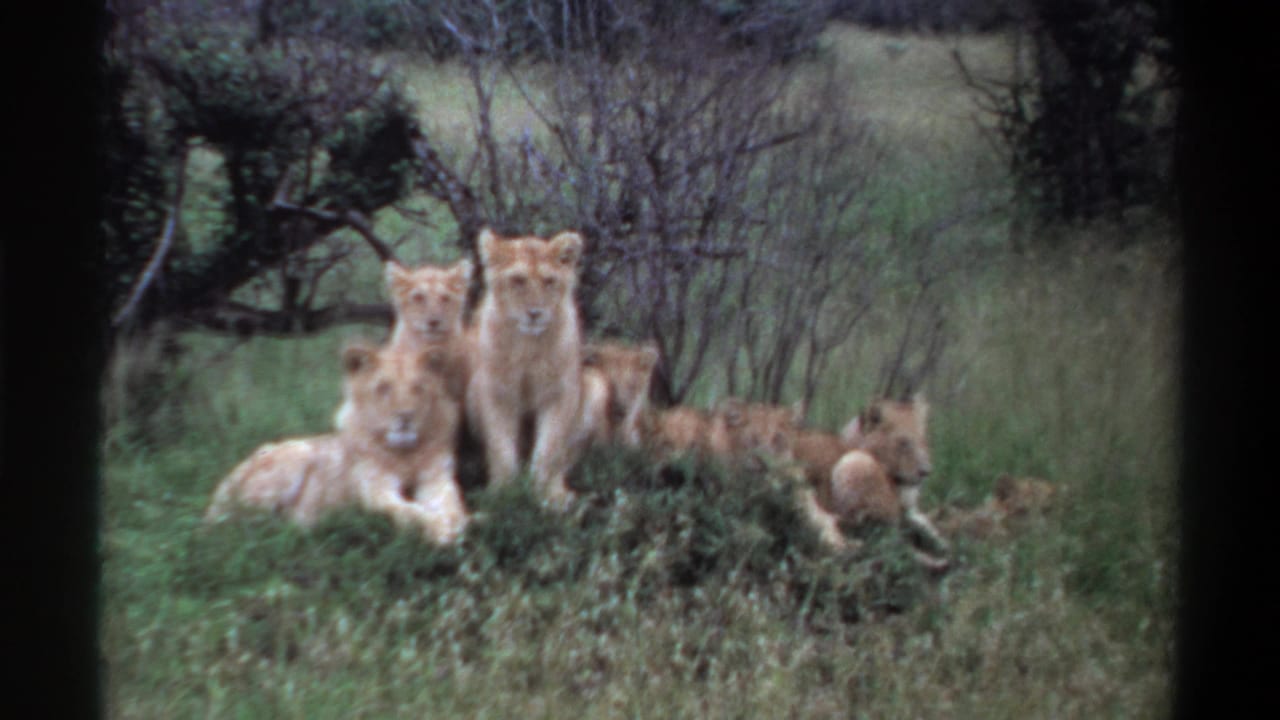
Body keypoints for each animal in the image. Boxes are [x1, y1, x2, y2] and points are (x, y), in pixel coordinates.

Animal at [205, 343, 469, 544]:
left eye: (418, 387)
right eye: (383, 388)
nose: (405, 416)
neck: (405, 453)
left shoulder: (437, 480)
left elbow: (453, 504)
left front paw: (459, 521)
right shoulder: (375, 491)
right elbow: (410, 511)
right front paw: (441, 528)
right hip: (297, 454)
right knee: (240, 525)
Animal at [465, 228, 586, 505]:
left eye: (549, 281)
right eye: (518, 280)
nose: (535, 313)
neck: (527, 348)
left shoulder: (560, 393)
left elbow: (548, 449)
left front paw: (545, 495)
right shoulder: (496, 393)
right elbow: (501, 449)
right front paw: (504, 495)